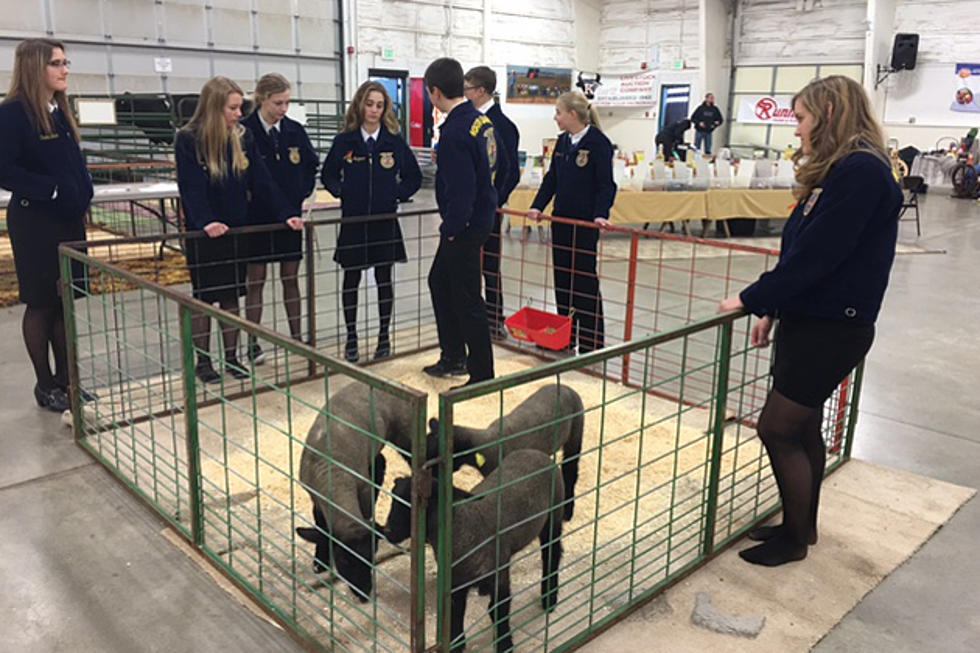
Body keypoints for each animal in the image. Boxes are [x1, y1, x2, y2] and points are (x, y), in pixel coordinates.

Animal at [290, 382, 414, 600]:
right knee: (380, 462)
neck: (335, 477)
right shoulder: (316, 499)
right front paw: (320, 561)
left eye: (372, 557)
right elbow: (321, 526)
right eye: (343, 560)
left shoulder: (362, 492)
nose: (363, 594)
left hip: (404, 433)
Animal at [384, 448, 564, 652]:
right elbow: (455, 612)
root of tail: (537, 452)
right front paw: (456, 644)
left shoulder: (499, 576)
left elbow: (498, 609)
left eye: (413, 505)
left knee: (552, 554)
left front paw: (504, 644)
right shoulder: (455, 582)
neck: (464, 525)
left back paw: (549, 597)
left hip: (554, 516)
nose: (387, 531)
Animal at [426, 382, 580, 520]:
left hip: (576, 432)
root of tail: (568, 388)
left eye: (436, 459)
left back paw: (568, 511)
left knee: (570, 470)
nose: (431, 479)